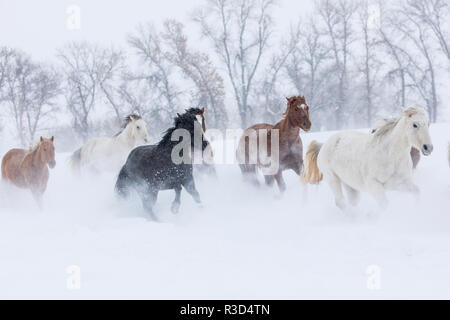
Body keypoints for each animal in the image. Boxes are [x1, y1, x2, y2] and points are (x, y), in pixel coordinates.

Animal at [302, 107, 432, 210]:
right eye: (415, 124)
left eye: (428, 123)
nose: (428, 147)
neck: (391, 156)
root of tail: (324, 145)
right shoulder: (374, 185)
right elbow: (384, 205)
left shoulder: (400, 184)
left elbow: (417, 192)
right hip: (332, 178)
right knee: (340, 202)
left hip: (350, 185)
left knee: (351, 202)